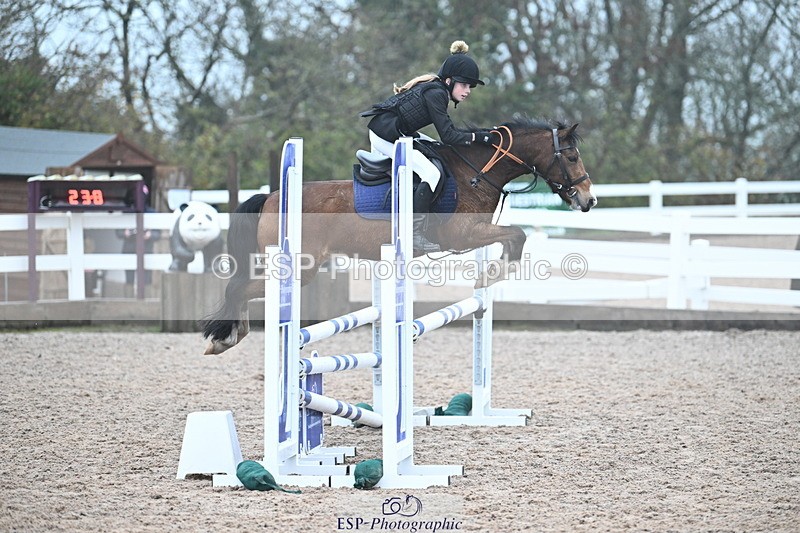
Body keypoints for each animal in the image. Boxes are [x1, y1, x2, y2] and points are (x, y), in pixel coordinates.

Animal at [202, 118, 596, 355]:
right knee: (239, 288)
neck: (475, 172)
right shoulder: (462, 236)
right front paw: (493, 273)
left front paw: (489, 276)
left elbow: (516, 235)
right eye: (572, 157)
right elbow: (517, 235)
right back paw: (225, 338)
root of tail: (270, 196)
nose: (588, 200)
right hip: (301, 268)